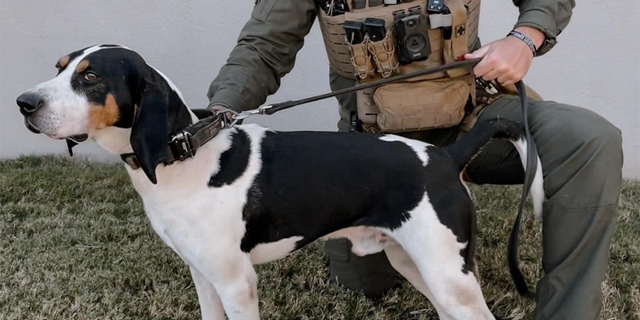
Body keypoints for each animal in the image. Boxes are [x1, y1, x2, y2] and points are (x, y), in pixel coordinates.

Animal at [15, 45, 544, 320]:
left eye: (90, 78)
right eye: (59, 69)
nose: (24, 103)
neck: (184, 156)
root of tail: (444, 154)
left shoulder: (237, 283)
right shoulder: (203, 277)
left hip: (448, 273)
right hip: (415, 262)